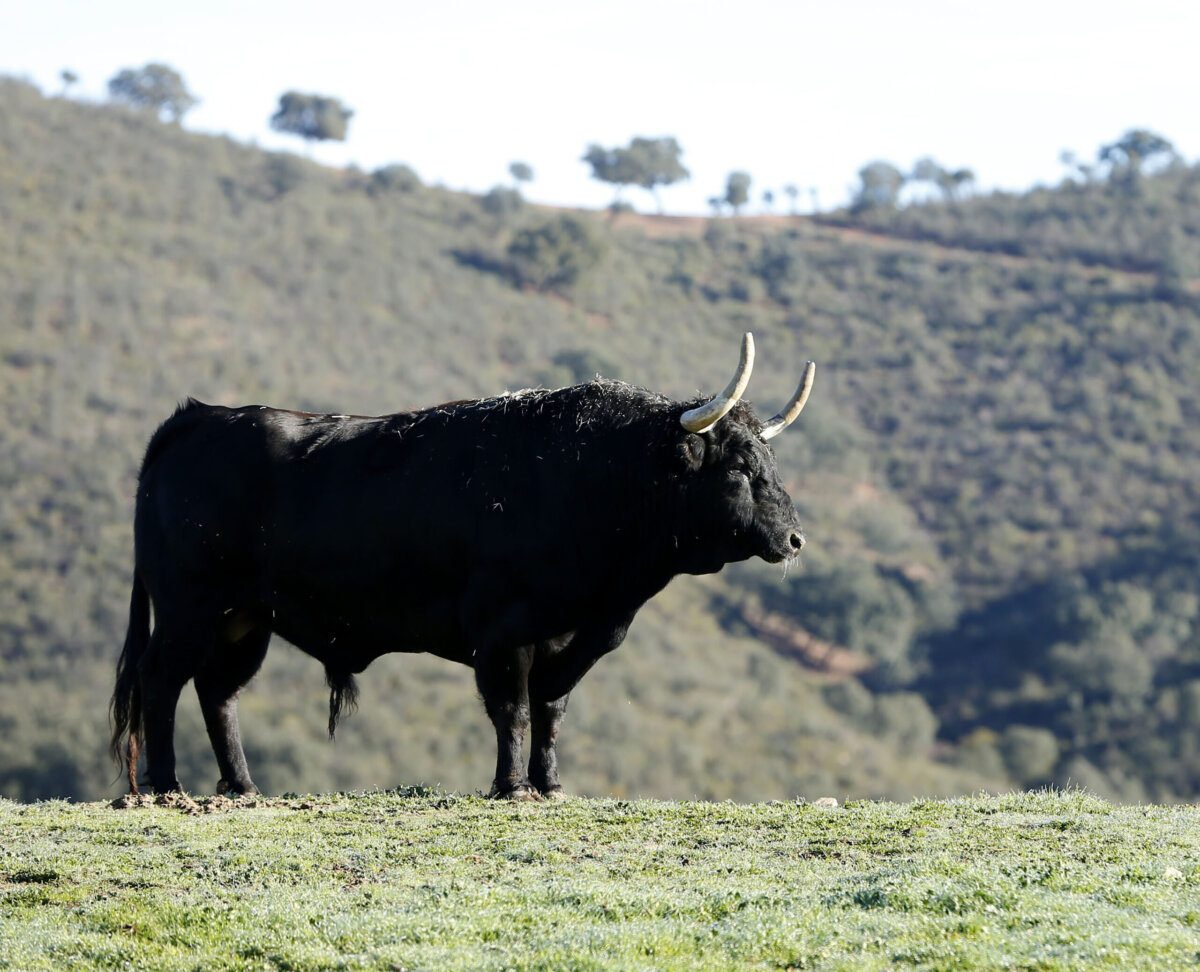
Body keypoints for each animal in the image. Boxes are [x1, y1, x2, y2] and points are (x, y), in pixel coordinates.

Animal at [110, 332, 814, 799]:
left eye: (772, 462)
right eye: (739, 467)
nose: (794, 538)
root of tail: (199, 416)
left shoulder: (566, 637)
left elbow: (552, 712)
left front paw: (551, 786)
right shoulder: (504, 632)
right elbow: (515, 711)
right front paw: (510, 787)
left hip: (243, 618)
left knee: (217, 691)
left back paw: (241, 787)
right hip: (189, 606)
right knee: (161, 679)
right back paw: (169, 786)